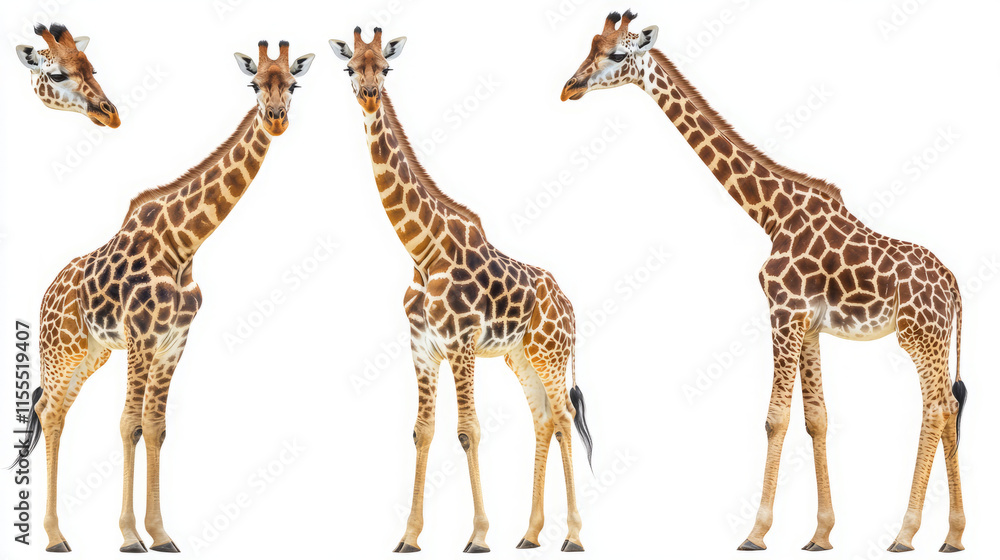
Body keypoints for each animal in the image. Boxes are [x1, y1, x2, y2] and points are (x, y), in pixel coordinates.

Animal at [10, 40, 313, 553]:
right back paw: (53, 537)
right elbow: (127, 424)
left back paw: (58, 534)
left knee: (54, 411)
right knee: (49, 413)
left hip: (91, 354)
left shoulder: (173, 342)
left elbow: (155, 427)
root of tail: (46, 294)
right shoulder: (141, 338)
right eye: (254, 84)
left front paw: (160, 533)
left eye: (293, 84)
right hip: (61, 351)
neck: (183, 245)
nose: (276, 119)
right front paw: (130, 536)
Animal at [330, 27, 594, 553]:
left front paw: (477, 535)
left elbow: (468, 429)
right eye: (350, 67)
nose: (368, 95)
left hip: (551, 354)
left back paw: (574, 535)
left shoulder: (461, 344)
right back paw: (530, 533)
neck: (422, 251)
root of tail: (572, 308)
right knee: (544, 419)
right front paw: (409, 537)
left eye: (385, 68)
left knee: (563, 419)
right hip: (520, 355)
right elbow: (423, 430)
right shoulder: (422, 348)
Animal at [561, 11, 967, 554]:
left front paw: (755, 532)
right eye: (590, 46)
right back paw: (954, 535)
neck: (772, 215)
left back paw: (905, 533)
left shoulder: (783, 311)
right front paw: (820, 533)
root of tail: (955, 286)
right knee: (948, 408)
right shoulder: (810, 325)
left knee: (936, 409)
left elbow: (775, 418)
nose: (569, 88)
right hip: (935, 339)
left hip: (918, 337)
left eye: (617, 54)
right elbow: (816, 418)